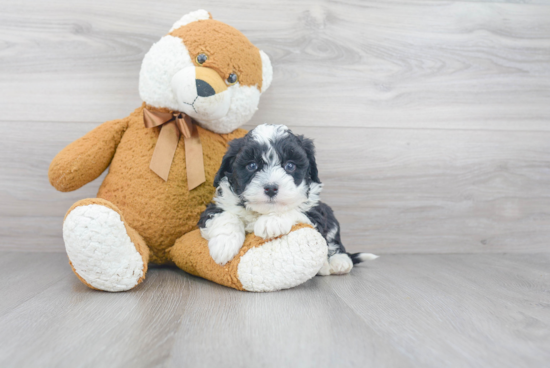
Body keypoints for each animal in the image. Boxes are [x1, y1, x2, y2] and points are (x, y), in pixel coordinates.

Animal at [198, 125, 380, 274]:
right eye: (251, 166)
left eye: (290, 166)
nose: (271, 188)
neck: (260, 212)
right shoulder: (216, 205)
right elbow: (226, 216)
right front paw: (224, 244)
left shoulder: (316, 213)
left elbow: (294, 210)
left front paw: (271, 222)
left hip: (329, 215)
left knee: (335, 242)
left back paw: (339, 262)